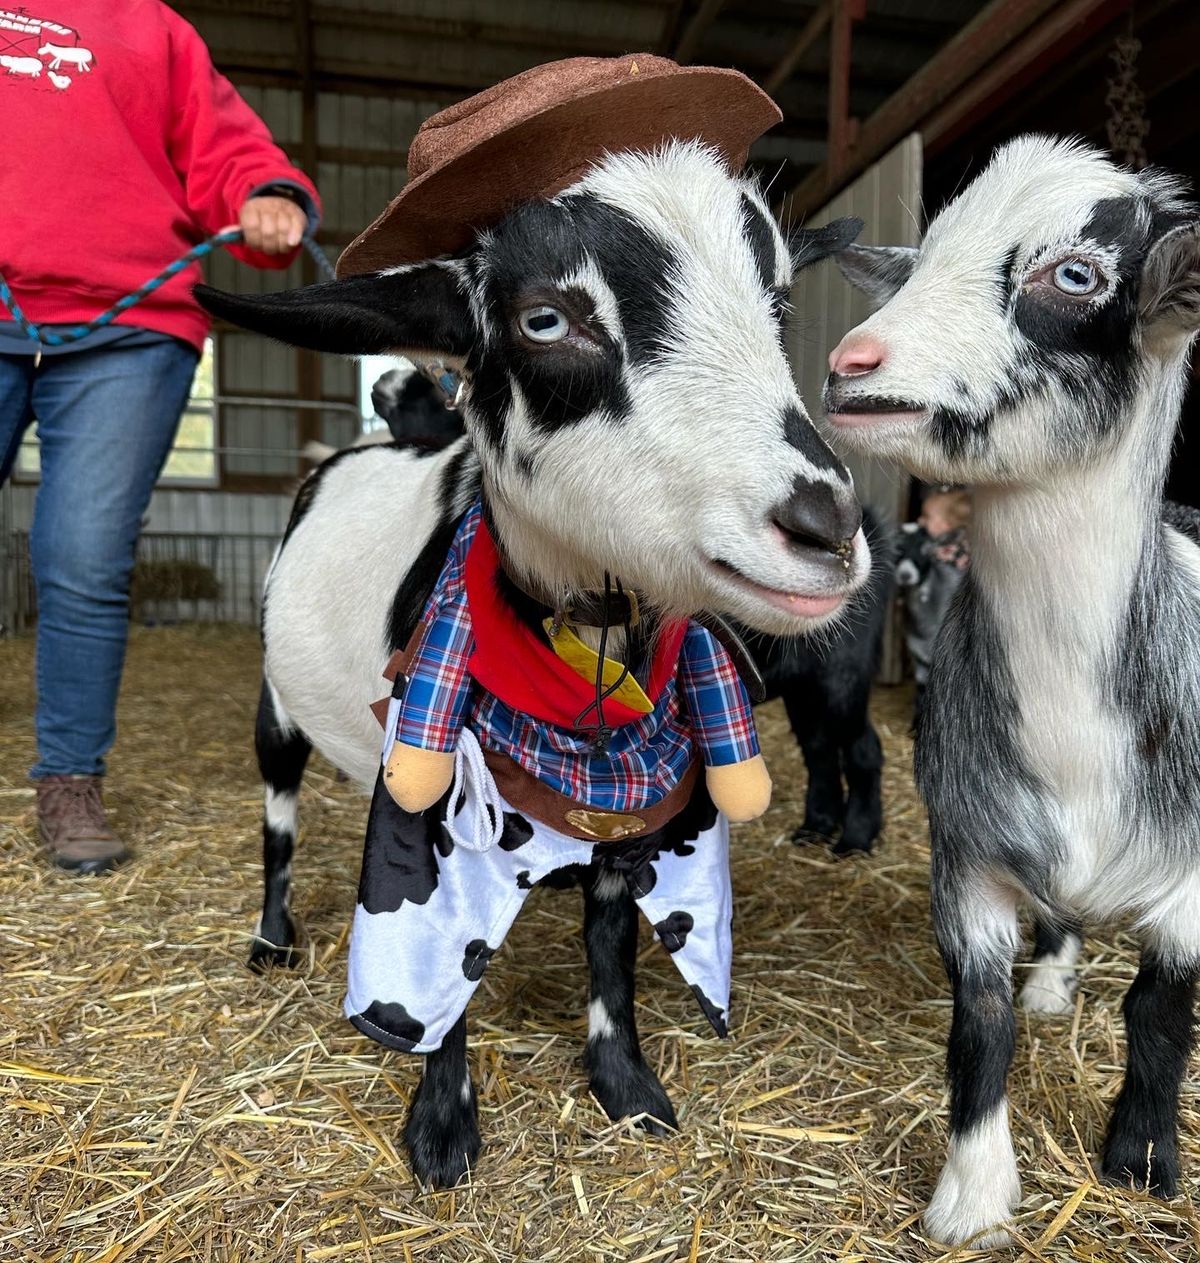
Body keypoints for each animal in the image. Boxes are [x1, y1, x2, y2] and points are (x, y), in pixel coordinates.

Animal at [197, 143, 874, 1187]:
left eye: (780, 303)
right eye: (546, 318)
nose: (825, 529)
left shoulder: (630, 811)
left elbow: (611, 946)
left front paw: (628, 1089)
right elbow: (437, 964)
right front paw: (442, 1129)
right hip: (277, 703)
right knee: (277, 819)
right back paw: (272, 939)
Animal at [828, 135, 1200, 1242]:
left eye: (1073, 275)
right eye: (921, 258)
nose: (852, 364)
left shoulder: (1192, 883)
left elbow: (1159, 1015)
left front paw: (1141, 1161)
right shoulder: (967, 858)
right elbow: (979, 1023)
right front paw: (973, 1197)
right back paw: (1052, 983)